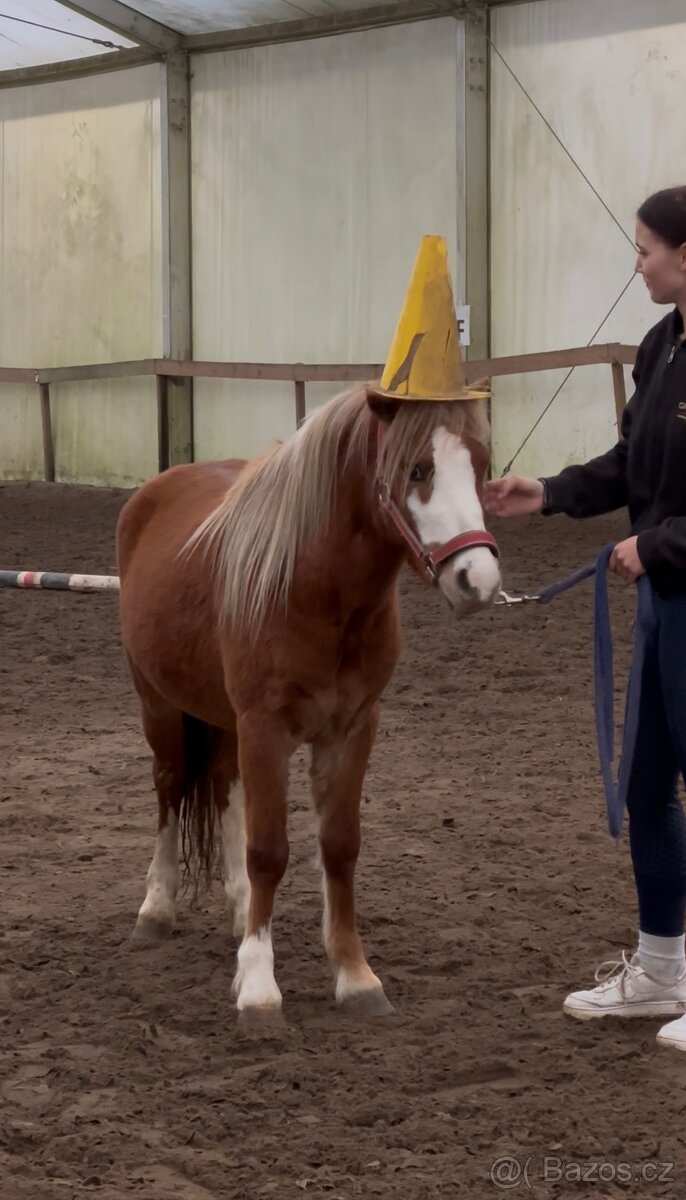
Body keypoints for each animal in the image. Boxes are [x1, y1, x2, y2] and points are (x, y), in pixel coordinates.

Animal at [116, 384, 501, 1022]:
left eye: (481, 466)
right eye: (416, 469)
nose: (478, 580)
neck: (313, 587)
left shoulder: (352, 729)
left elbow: (340, 847)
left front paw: (355, 977)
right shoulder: (265, 728)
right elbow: (269, 849)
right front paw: (258, 986)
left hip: (224, 721)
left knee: (221, 787)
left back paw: (238, 907)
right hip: (161, 707)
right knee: (170, 787)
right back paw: (156, 908)